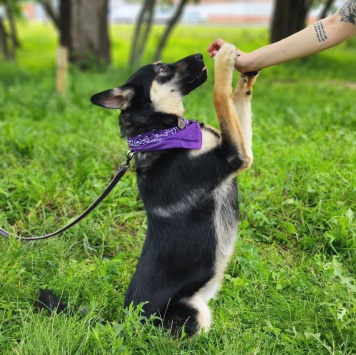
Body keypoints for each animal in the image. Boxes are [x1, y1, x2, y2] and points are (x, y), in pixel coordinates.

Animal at [39, 43, 258, 336]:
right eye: (161, 68)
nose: (199, 55)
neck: (161, 133)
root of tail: (126, 318)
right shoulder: (234, 156)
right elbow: (220, 95)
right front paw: (224, 62)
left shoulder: (240, 152)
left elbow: (235, 100)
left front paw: (246, 78)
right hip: (192, 312)